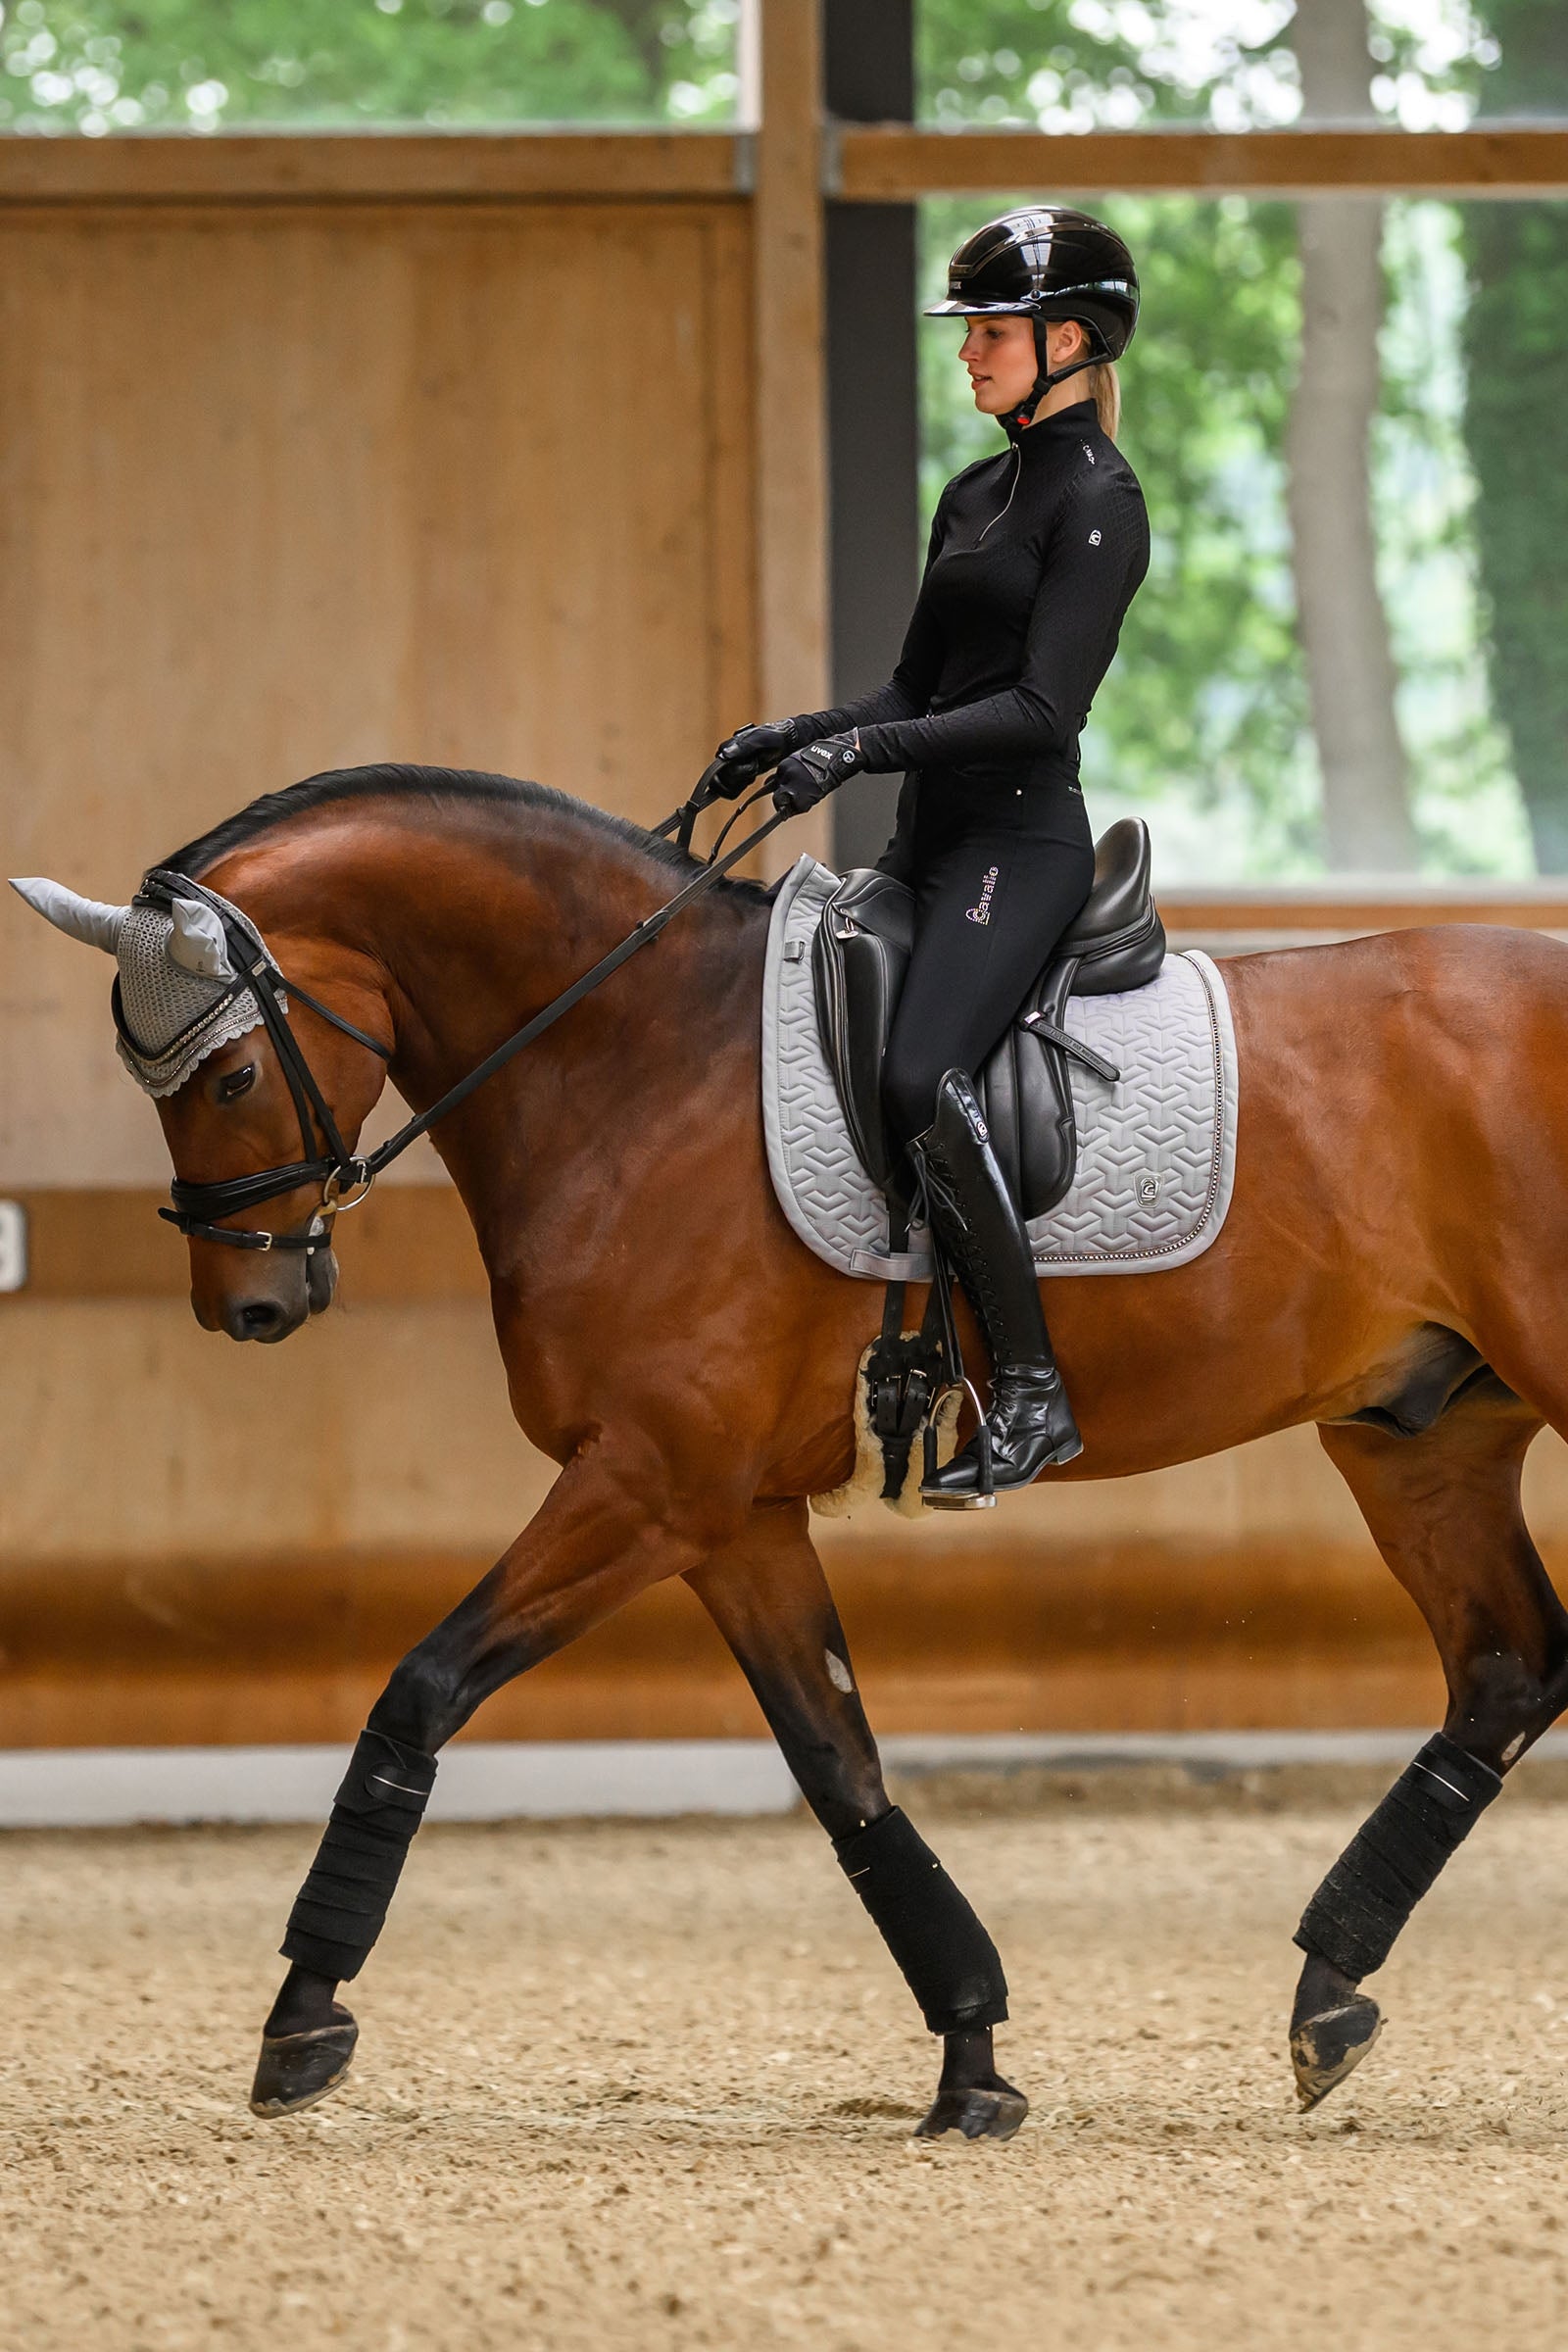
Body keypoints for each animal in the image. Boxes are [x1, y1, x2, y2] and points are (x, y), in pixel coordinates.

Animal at [17, 761, 1568, 2139]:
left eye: (224, 1076)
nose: (250, 1307)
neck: (634, 1057)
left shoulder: (646, 1484)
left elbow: (421, 1691)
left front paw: (301, 2017)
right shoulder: (733, 1515)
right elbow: (843, 1771)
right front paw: (972, 2059)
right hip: (1420, 1437)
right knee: (1507, 1668)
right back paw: (1327, 1992)